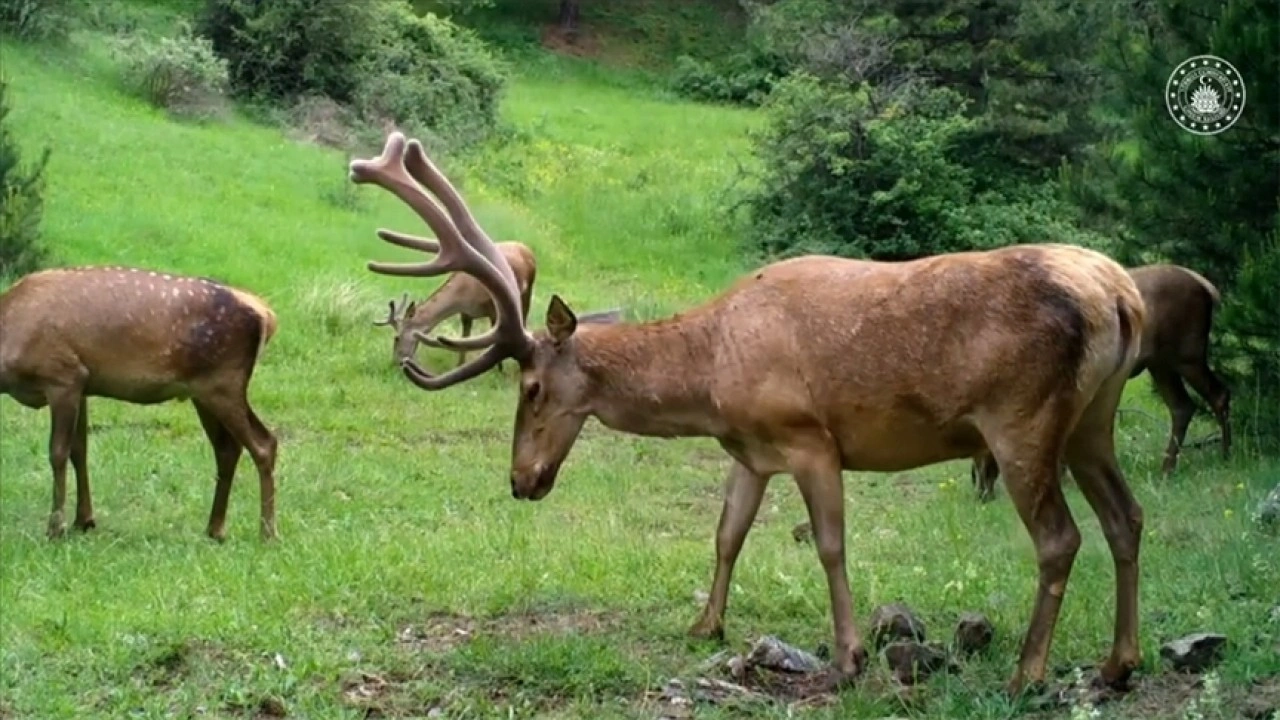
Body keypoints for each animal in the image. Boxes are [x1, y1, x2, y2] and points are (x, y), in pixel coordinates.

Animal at [0, 266, 279, 540]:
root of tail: (267, 316)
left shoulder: (63, 376)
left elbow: (58, 453)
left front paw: (55, 529)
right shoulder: (83, 386)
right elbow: (79, 450)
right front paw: (84, 521)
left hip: (223, 383)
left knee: (264, 443)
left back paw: (267, 533)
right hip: (205, 392)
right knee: (228, 449)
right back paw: (215, 529)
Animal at [371, 240, 535, 366]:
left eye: (396, 338)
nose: (395, 362)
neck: (465, 293)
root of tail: (525, 247)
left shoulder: (494, 310)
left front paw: (499, 369)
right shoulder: (465, 313)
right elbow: (464, 339)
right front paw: (459, 364)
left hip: (528, 291)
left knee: (524, 319)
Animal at [967, 260, 1228, 502]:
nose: (982, 494)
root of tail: (1209, 288)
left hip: (1187, 355)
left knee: (1218, 394)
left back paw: (1226, 453)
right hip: (1161, 364)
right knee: (1182, 406)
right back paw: (1167, 469)